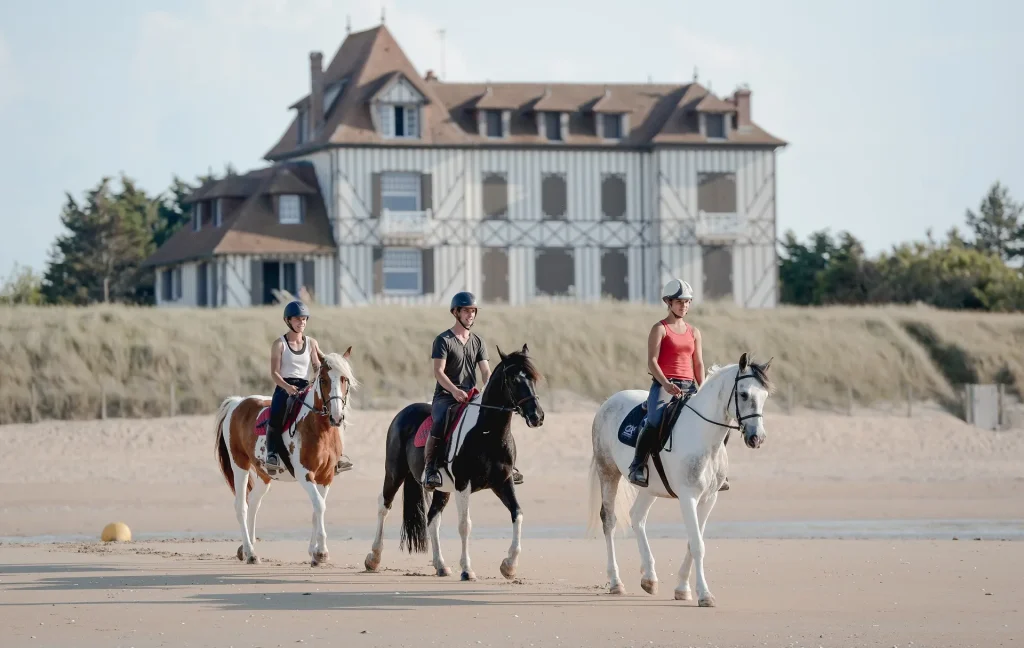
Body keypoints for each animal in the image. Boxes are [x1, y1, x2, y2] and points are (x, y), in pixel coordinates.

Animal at [210, 346, 356, 565]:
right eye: (323, 380)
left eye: (344, 379)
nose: (337, 417)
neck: (317, 427)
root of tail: (237, 403)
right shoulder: (305, 475)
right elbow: (319, 506)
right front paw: (321, 552)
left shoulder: (327, 476)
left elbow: (317, 509)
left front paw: (314, 552)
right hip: (239, 465)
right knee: (241, 506)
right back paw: (250, 553)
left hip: (264, 474)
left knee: (253, 502)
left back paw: (247, 548)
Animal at [366, 343, 548, 581]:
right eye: (514, 380)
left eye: (533, 379)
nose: (537, 417)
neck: (487, 432)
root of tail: (403, 412)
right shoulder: (463, 484)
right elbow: (465, 525)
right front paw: (467, 569)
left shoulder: (503, 481)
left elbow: (517, 514)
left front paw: (509, 566)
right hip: (395, 473)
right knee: (384, 505)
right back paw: (373, 558)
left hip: (441, 488)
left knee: (432, 518)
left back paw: (440, 565)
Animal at [589, 352, 770, 606]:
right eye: (743, 394)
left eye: (765, 395)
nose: (757, 438)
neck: (703, 436)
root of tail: (609, 401)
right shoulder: (688, 497)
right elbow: (697, 544)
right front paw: (704, 595)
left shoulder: (709, 499)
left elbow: (693, 542)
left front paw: (682, 589)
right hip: (608, 472)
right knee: (609, 521)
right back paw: (616, 582)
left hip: (649, 487)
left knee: (637, 517)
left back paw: (649, 578)